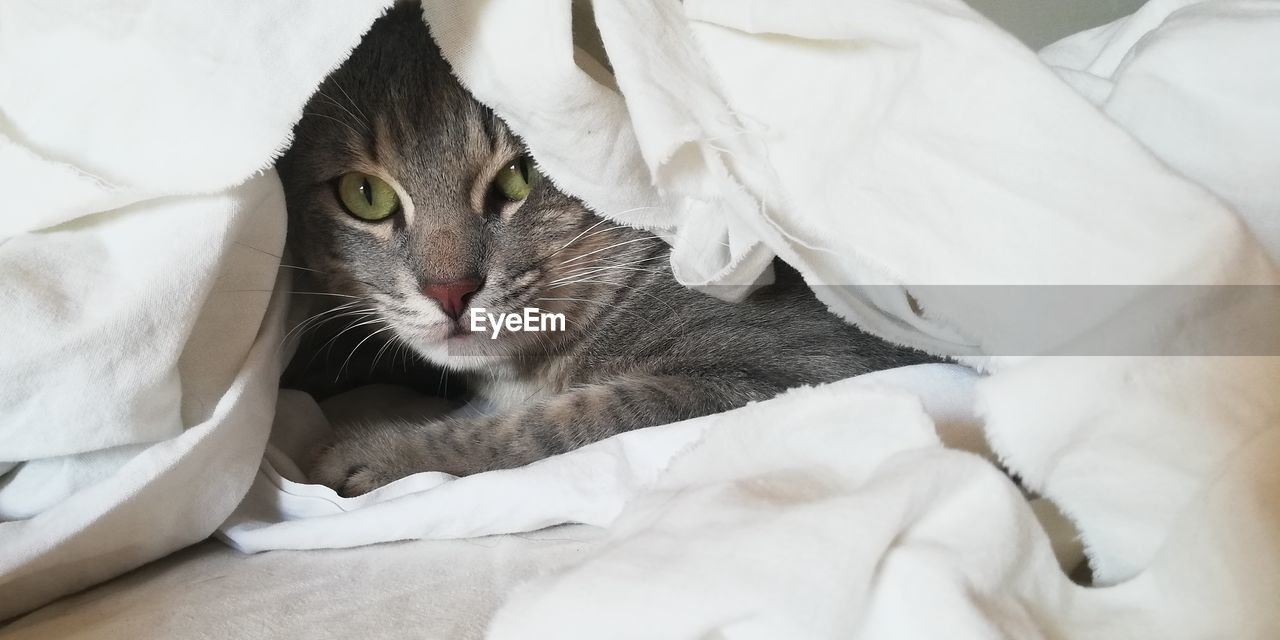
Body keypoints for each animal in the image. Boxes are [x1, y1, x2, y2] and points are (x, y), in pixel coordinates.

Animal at [275, 2, 931, 496]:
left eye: (521, 175)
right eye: (365, 195)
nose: (449, 291)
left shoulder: (797, 369)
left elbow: (553, 424)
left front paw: (378, 453)